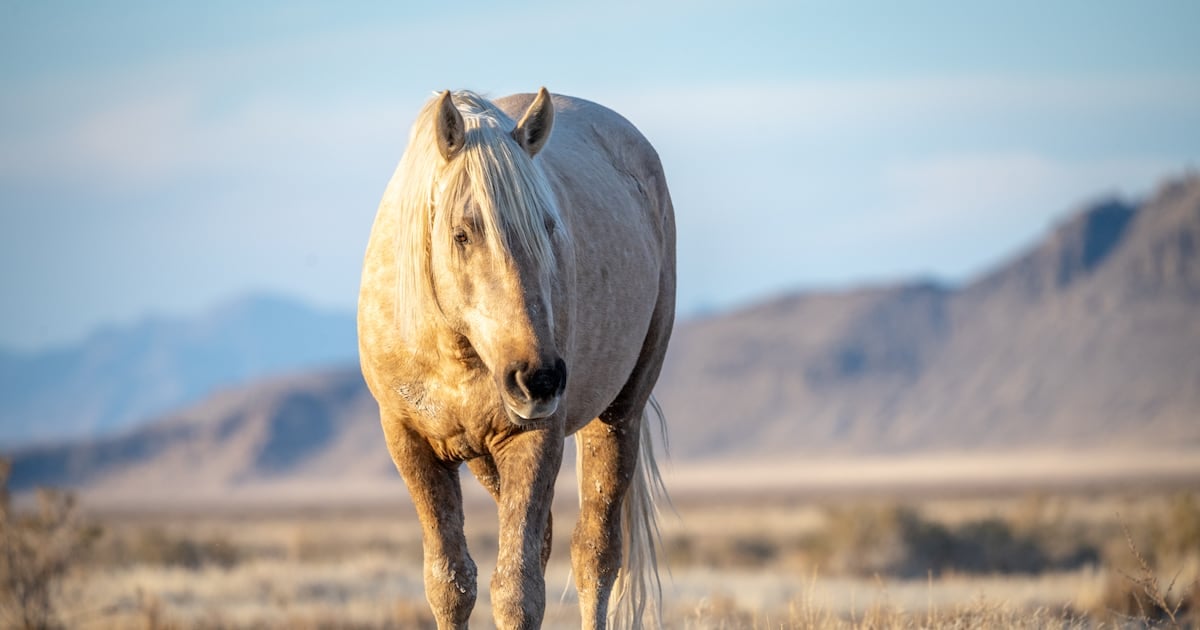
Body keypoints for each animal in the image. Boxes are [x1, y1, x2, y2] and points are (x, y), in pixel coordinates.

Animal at [355, 89, 676, 628]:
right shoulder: (410, 442)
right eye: (462, 234)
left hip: (618, 416)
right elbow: (450, 584)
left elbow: (516, 591)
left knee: (595, 555)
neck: (453, 351)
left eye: (549, 227)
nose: (539, 380)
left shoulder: (535, 437)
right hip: (487, 458)